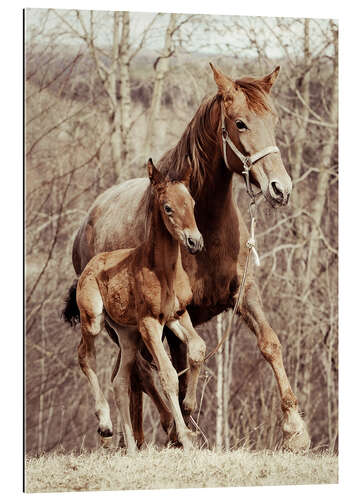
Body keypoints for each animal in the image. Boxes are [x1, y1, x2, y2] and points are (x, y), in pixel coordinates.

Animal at [74, 159, 204, 454]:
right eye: (167, 207)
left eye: (192, 202)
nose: (195, 242)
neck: (164, 271)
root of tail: (89, 264)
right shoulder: (150, 323)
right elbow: (168, 374)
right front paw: (184, 437)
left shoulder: (177, 315)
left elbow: (198, 349)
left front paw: (189, 406)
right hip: (94, 320)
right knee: (84, 356)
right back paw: (105, 425)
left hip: (127, 335)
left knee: (121, 381)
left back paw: (132, 447)